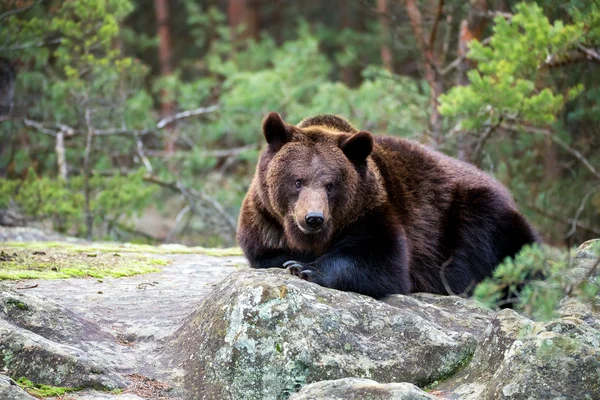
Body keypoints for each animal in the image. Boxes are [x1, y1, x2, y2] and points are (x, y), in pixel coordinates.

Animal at [236, 111, 540, 296]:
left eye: (330, 184)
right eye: (298, 181)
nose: (313, 218)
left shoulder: (373, 212)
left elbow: (383, 262)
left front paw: (307, 268)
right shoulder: (264, 222)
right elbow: (267, 254)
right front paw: (295, 260)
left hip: (474, 213)